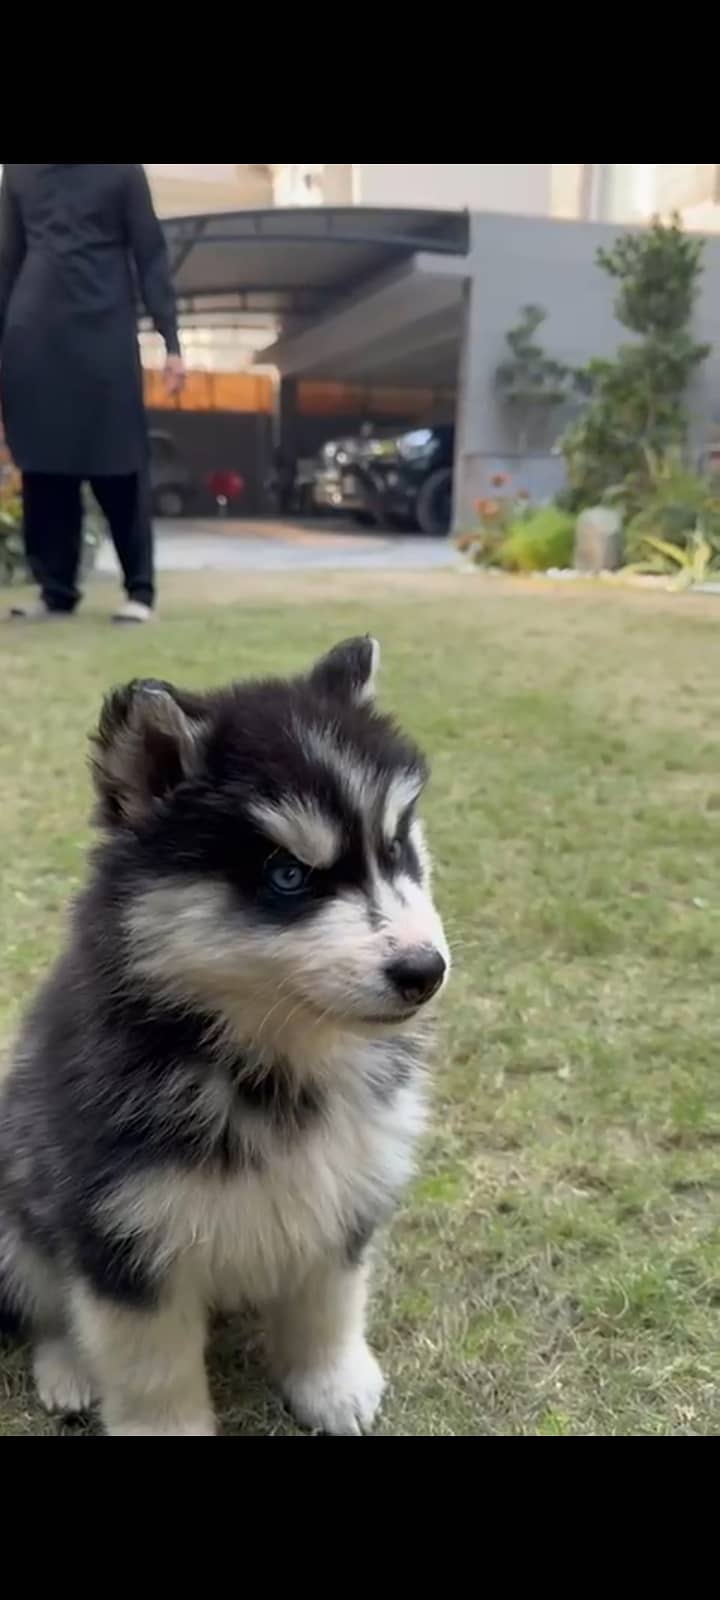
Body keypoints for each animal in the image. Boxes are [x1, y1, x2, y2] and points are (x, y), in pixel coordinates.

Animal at [0, 636, 448, 1440]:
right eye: (287, 875)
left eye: (397, 848)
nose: (425, 972)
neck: (277, 1061)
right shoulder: (122, 1232)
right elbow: (152, 1368)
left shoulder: (346, 1191)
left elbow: (329, 1304)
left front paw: (332, 1384)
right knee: (43, 1306)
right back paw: (69, 1369)